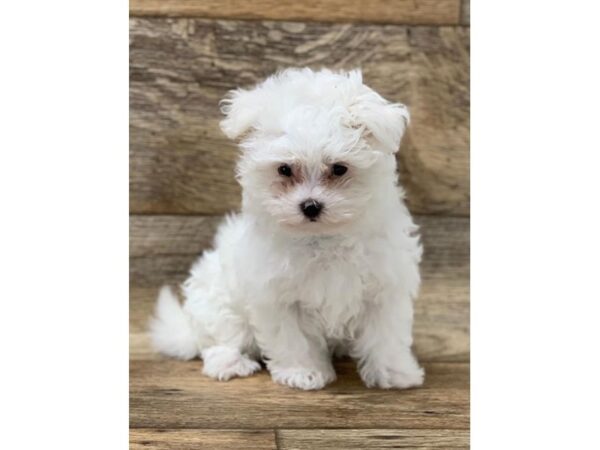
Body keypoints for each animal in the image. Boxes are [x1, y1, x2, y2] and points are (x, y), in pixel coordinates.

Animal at [150, 67, 424, 390]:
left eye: (339, 168)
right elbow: (295, 339)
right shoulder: (278, 296)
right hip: (217, 304)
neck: (323, 239)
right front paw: (303, 372)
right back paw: (231, 363)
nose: (311, 206)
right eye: (284, 169)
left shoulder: (384, 287)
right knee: (219, 339)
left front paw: (394, 372)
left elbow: (386, 335)